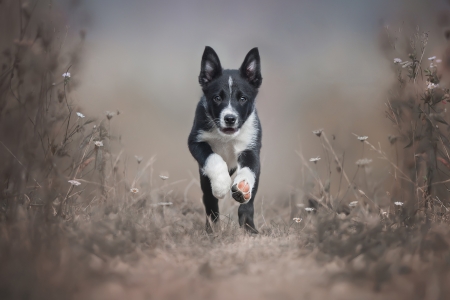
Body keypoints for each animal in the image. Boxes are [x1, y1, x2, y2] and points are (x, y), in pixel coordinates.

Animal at [187, 47, 264, 234]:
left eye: (243, 98)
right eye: (217, 98)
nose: (230, 118)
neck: (227, 137)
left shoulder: (251, 148)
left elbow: (249, 171)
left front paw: (243, 187)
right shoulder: (196, 141)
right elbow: (214, 158)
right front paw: (221, 184)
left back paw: (250, 228)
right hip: (204, 180)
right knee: (210, 204)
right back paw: (212, 230)